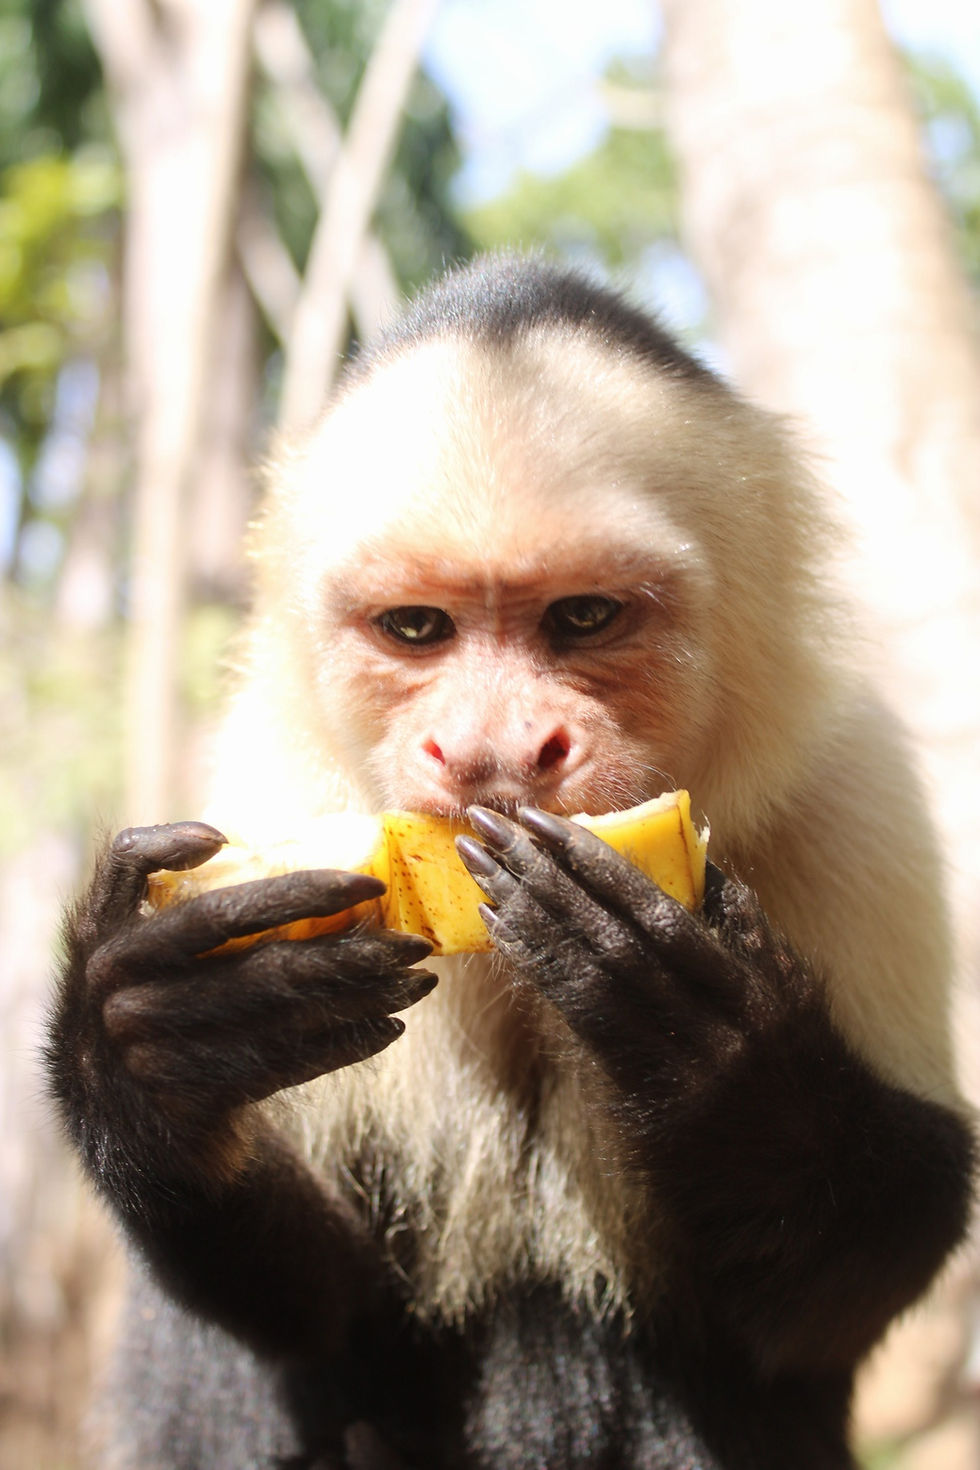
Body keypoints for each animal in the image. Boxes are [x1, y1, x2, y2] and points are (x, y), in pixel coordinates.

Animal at [47, 255, 974, 1470]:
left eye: (582, 618)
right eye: (416, 629)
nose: (493, 750)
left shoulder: (849, 789)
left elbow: (841, 1289)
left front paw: (717, 1057)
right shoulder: (268, 782)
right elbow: (327, 1306)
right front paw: (153, 1051)